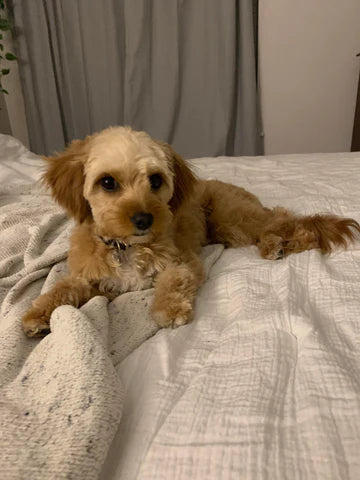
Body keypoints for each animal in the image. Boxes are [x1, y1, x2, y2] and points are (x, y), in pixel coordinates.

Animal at [22, 127, 360, 338]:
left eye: (155, 180)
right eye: (107, 182)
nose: (144, 219)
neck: (127, 247)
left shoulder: (183, 262)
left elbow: (173, 282)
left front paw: (169, 309)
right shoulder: (88, 278)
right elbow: (61, 289)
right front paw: (37, 314)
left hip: (233, 219)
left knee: (284, 219)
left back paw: (285, 242)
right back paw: (276, 246)